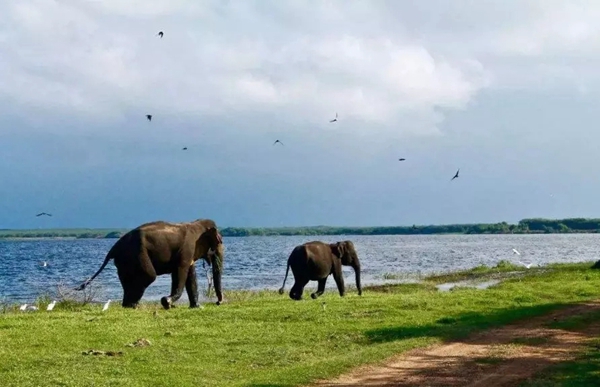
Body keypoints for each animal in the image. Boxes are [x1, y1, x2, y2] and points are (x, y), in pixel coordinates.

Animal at [75, 220, 225, 310]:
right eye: (220, 241)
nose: (218, 302)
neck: (196, 224)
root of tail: (114, 248)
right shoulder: (187, 250)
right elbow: (180, 272)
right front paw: (167, 302)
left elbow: (190, 275)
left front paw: (197, 307)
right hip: (137, 255)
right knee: (149, 276)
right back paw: (133, 305)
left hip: (124, 262)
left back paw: (128, 306)